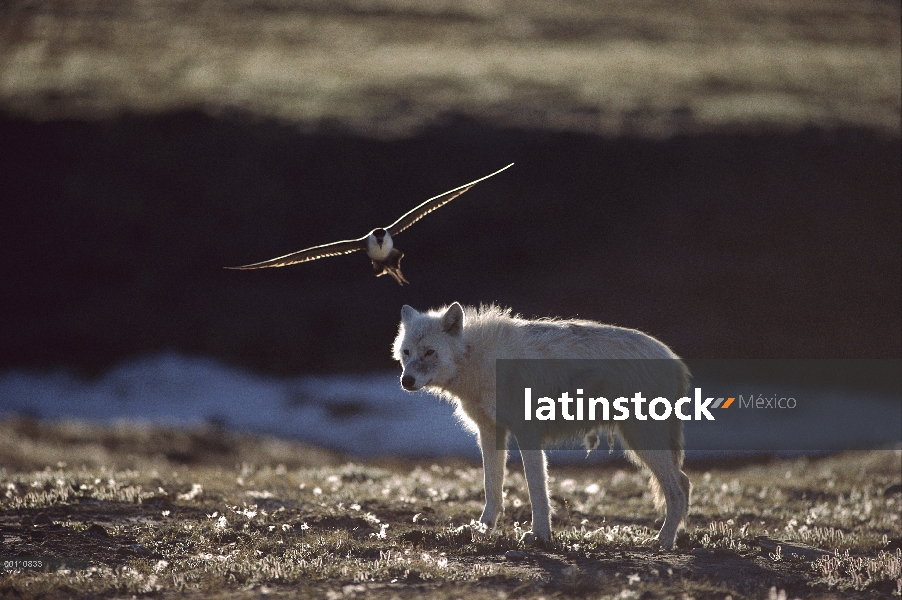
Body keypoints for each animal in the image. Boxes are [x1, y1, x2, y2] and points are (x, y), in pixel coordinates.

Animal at [392, 302, 696, 552]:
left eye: (430, 352)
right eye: (406, 352)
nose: (406, 381)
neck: (477, 357)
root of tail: (674, 359)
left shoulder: (527, 433)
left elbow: (537, 490)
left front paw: (539, 536)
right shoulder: (490, 432)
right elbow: (492, 487)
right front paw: (482, 530)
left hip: (640, 441)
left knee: (678, 489)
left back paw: (663, 541)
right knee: (684, 482)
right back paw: (675, 537)